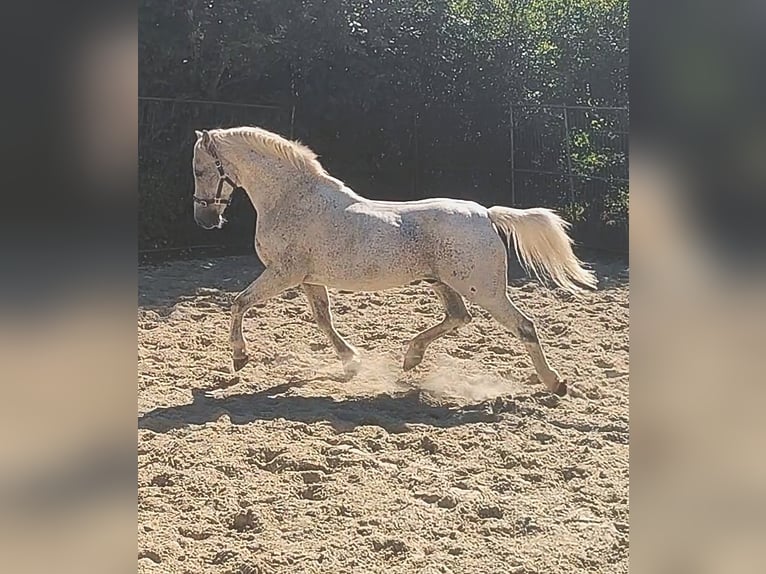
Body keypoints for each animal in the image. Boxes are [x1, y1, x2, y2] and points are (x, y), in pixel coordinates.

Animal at [191, 126, 597, 396]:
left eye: (199, 170)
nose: (204, 220)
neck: (292, 199)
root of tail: (485, 214)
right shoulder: (309, 278)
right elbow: (323, 319)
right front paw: (351, 361)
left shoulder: (283, 274)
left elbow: (239, 302)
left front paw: (239, 357)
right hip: (443, 282)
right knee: (459, 317)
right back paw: (411, 358)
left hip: (485, 290)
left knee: (523, 326)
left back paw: (556, 384)